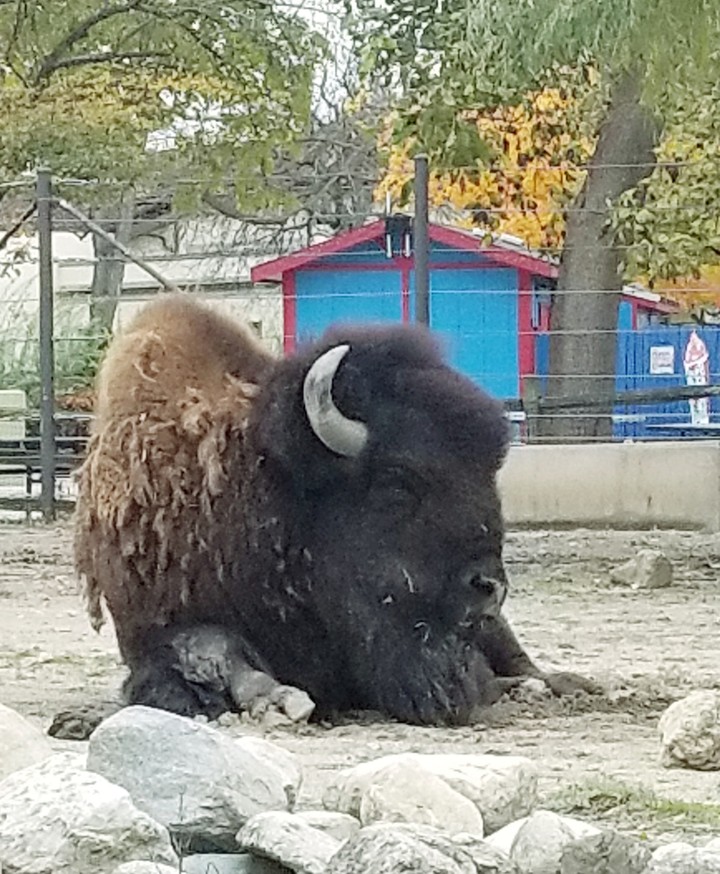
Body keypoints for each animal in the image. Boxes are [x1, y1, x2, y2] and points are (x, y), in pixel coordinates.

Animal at [60, 294, 594, 733]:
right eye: (396, 481)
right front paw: (279, 701)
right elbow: (209, 651)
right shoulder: (152, 632)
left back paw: (563, 686)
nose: (488, 587)